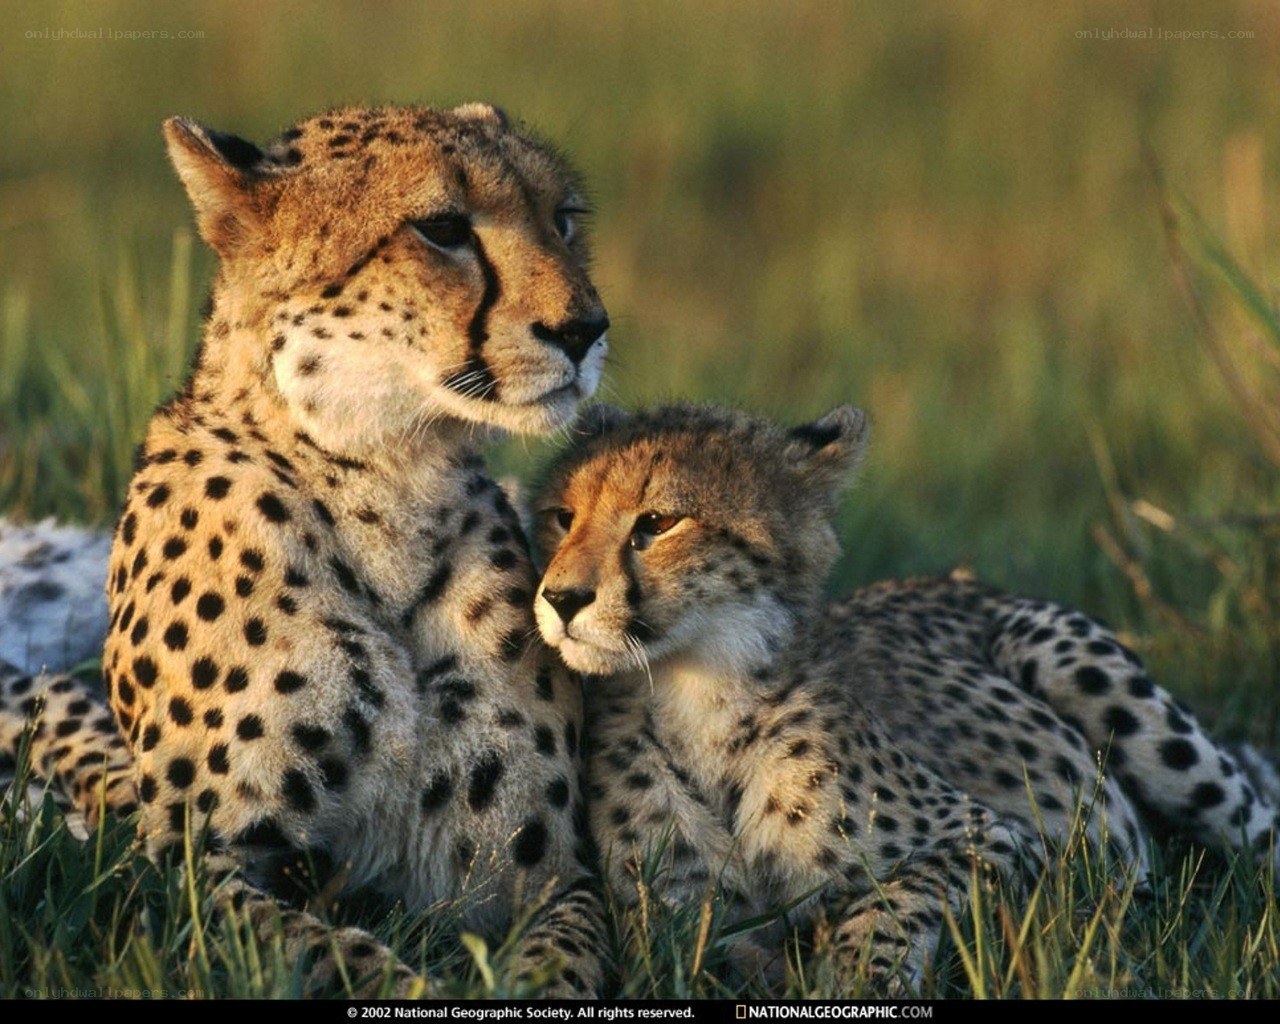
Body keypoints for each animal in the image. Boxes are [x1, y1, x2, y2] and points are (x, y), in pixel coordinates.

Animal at [0, 103, 611, 997]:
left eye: (562, 218)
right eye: (441, 228)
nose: (585, 330)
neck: (390, 484)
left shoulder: (547, 876)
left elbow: (562, 961)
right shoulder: (189, 874)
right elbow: (328, 951)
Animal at [530, 401, 1280, 992]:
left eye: (657, 522)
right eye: (562, 517)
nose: (561, 599)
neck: (695, 690)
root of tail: (958, 579)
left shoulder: (1021, 848)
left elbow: (893, 899)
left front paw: (853, 973)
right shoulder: (676, 925)